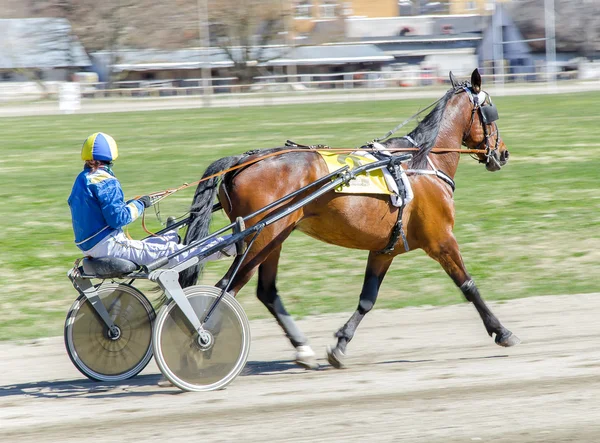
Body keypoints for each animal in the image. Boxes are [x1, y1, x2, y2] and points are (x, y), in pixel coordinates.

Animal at [180, 68, 516, 368]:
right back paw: (200, 342)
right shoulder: (441, 239)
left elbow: (368, 298)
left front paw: (340, 345)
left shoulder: (385, 248)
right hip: (262, 237)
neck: (420, 161)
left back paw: (303, 349)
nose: (503, 152)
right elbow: (468, 285)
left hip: (273, 238)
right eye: (490, 111)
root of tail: (243, 160)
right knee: (226, 287)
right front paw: (501, 331)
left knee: (266, 291)